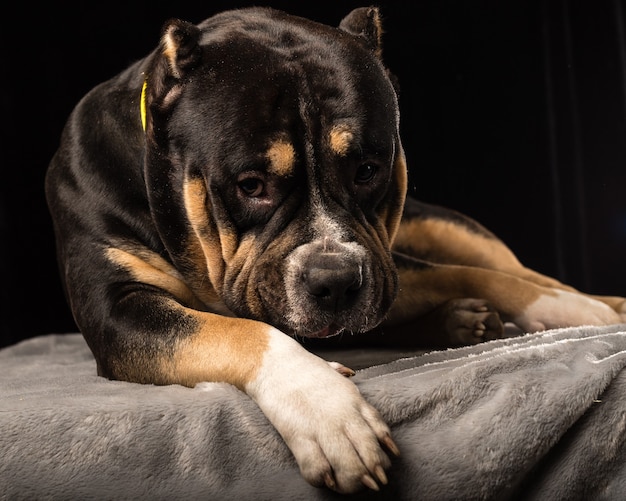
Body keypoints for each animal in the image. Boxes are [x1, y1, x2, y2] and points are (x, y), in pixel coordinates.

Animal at [47, 6, 624, 492]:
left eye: (367, 169)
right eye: (251, 185)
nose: (336, 280)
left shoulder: (385, 264)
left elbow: (469, 274)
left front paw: (575, 311)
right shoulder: (119, 313)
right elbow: (241, 334)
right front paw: (325, 409)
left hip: (444, 228)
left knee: (512, 269)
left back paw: (587, 303)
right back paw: (462, 323)